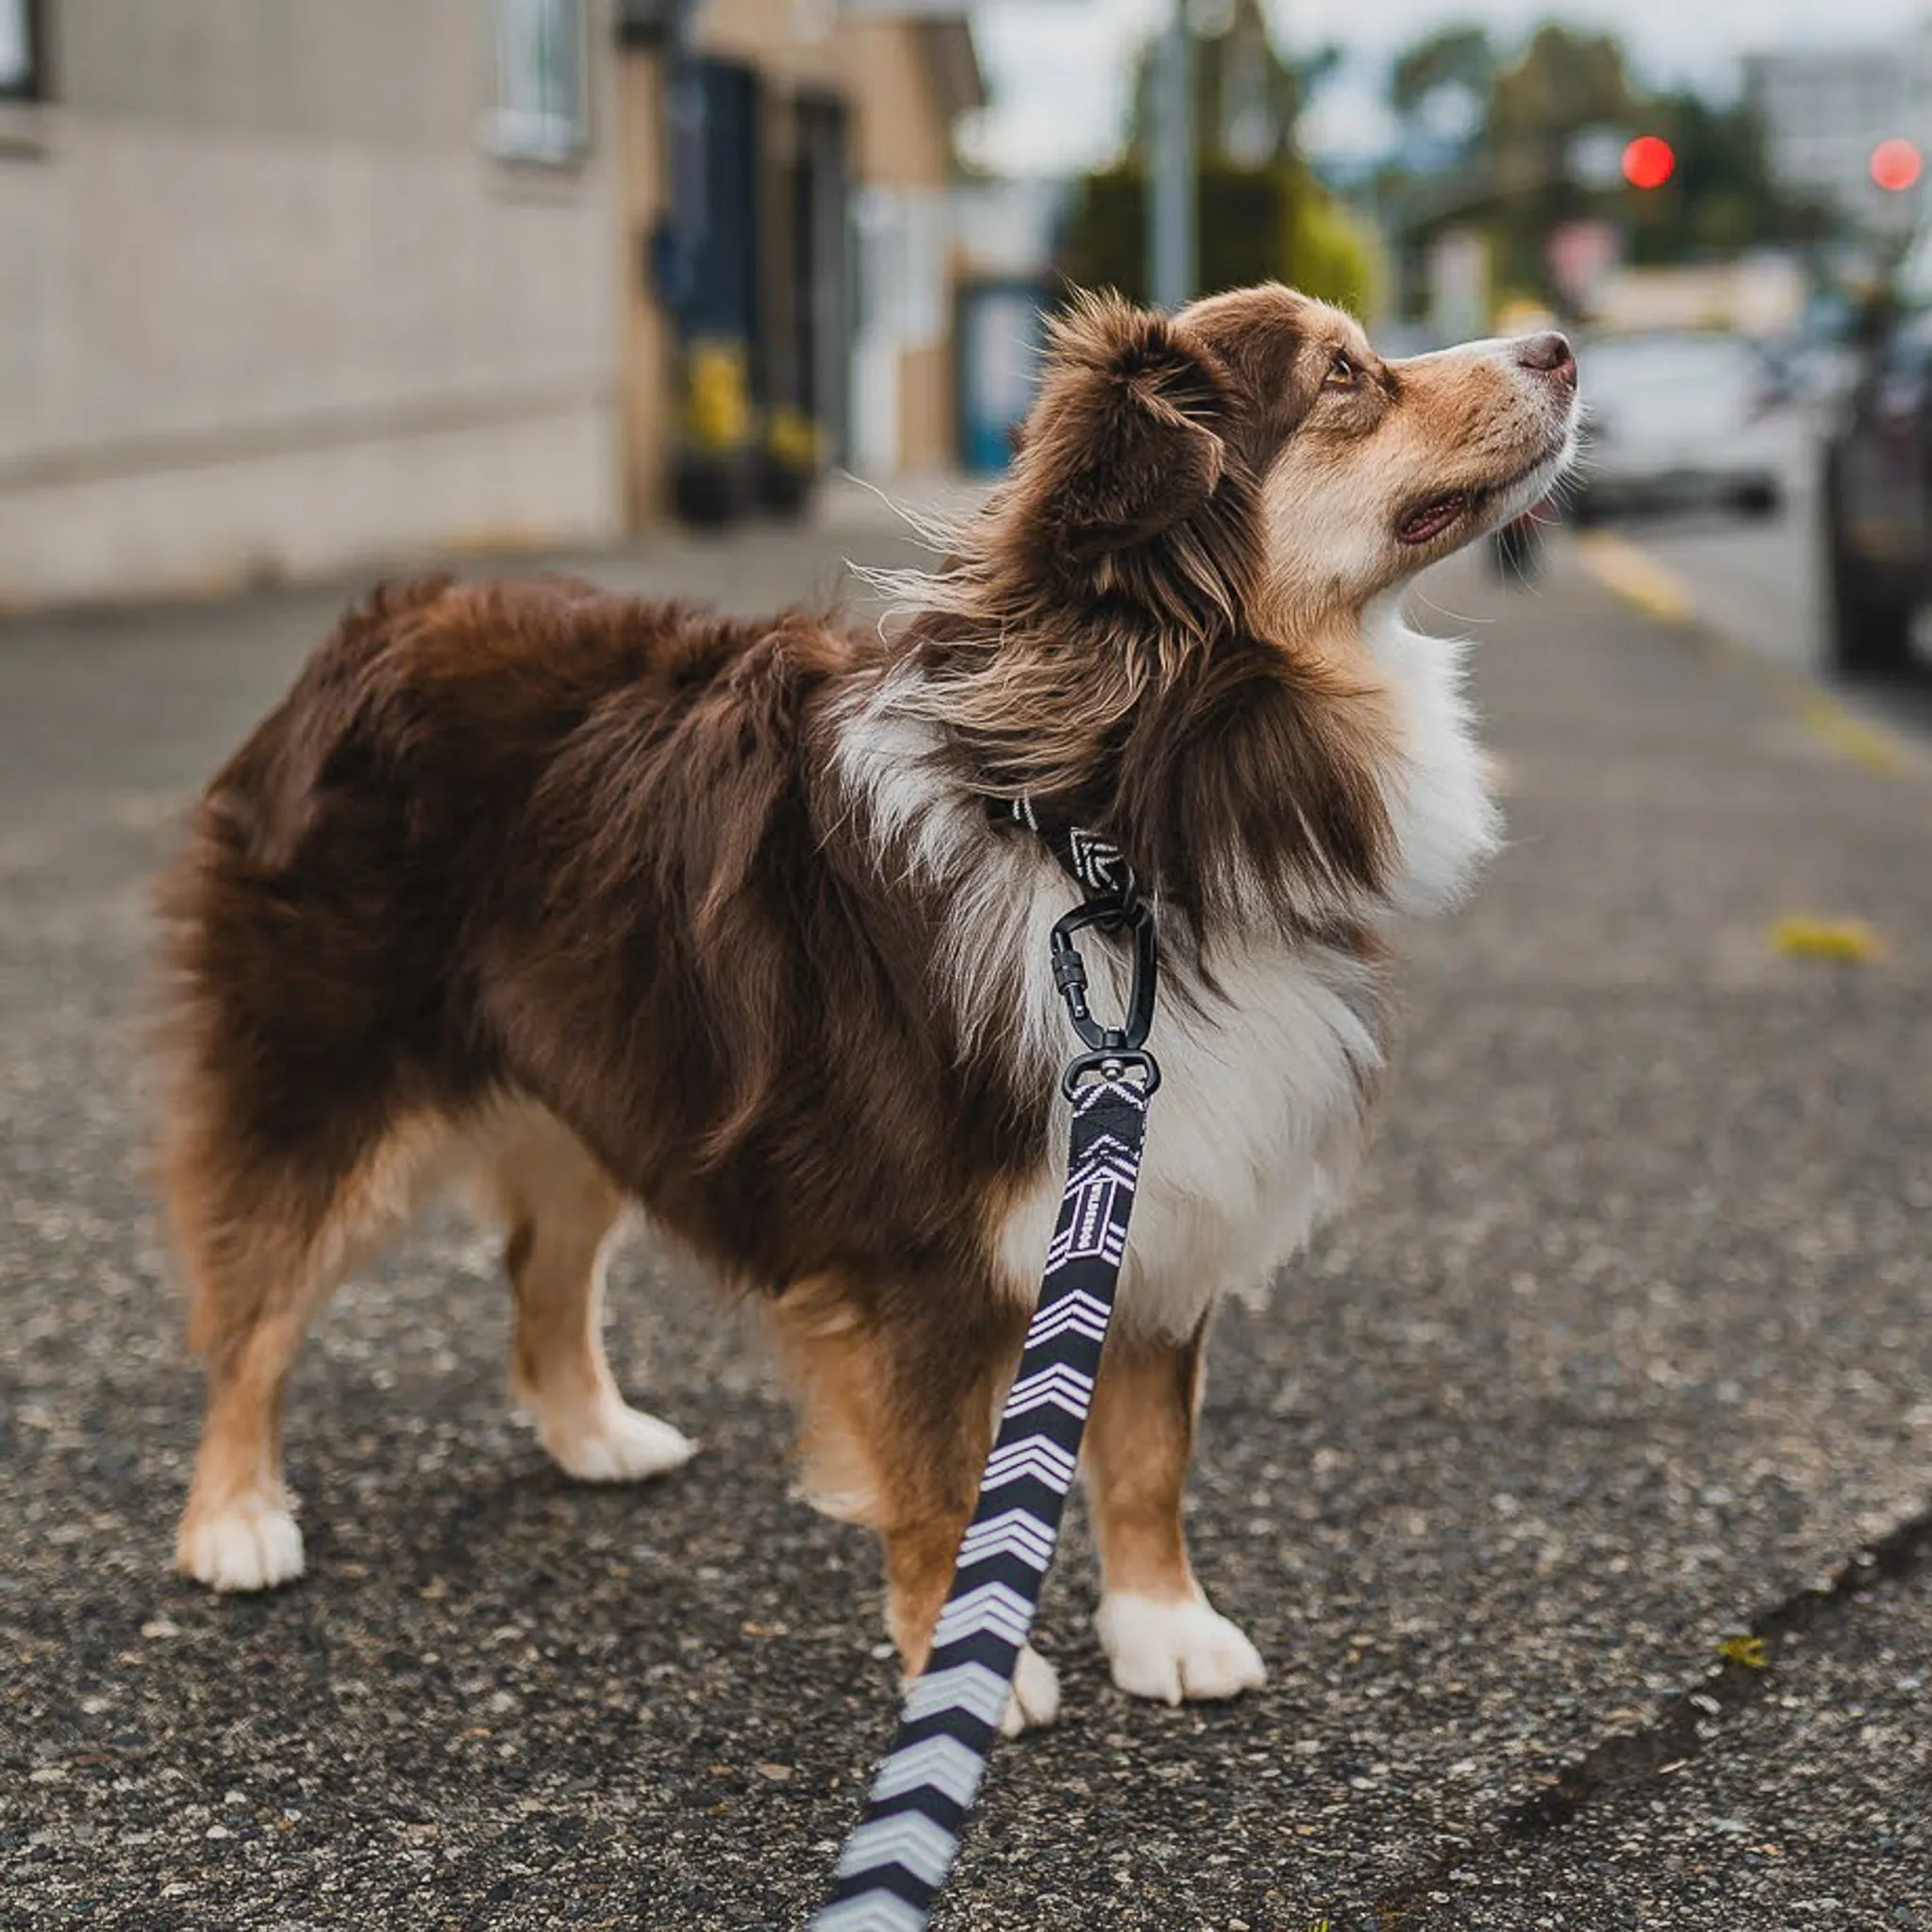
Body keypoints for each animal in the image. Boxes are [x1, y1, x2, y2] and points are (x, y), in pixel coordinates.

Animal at [146, 282, 1568, 1739]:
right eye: (1345, 375)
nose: (1560, 347)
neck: (1113, 825)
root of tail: (380, 620)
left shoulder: (1156, 1178)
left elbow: (1148, 1447)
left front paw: (1163, 1624)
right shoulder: (921, 1247)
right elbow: (942, 1482)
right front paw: (964, 1666)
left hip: (609, 1057)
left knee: (543, 1262)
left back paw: (593, 1433)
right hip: (325, 1064)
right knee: (253, 1296)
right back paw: (236, 1516)